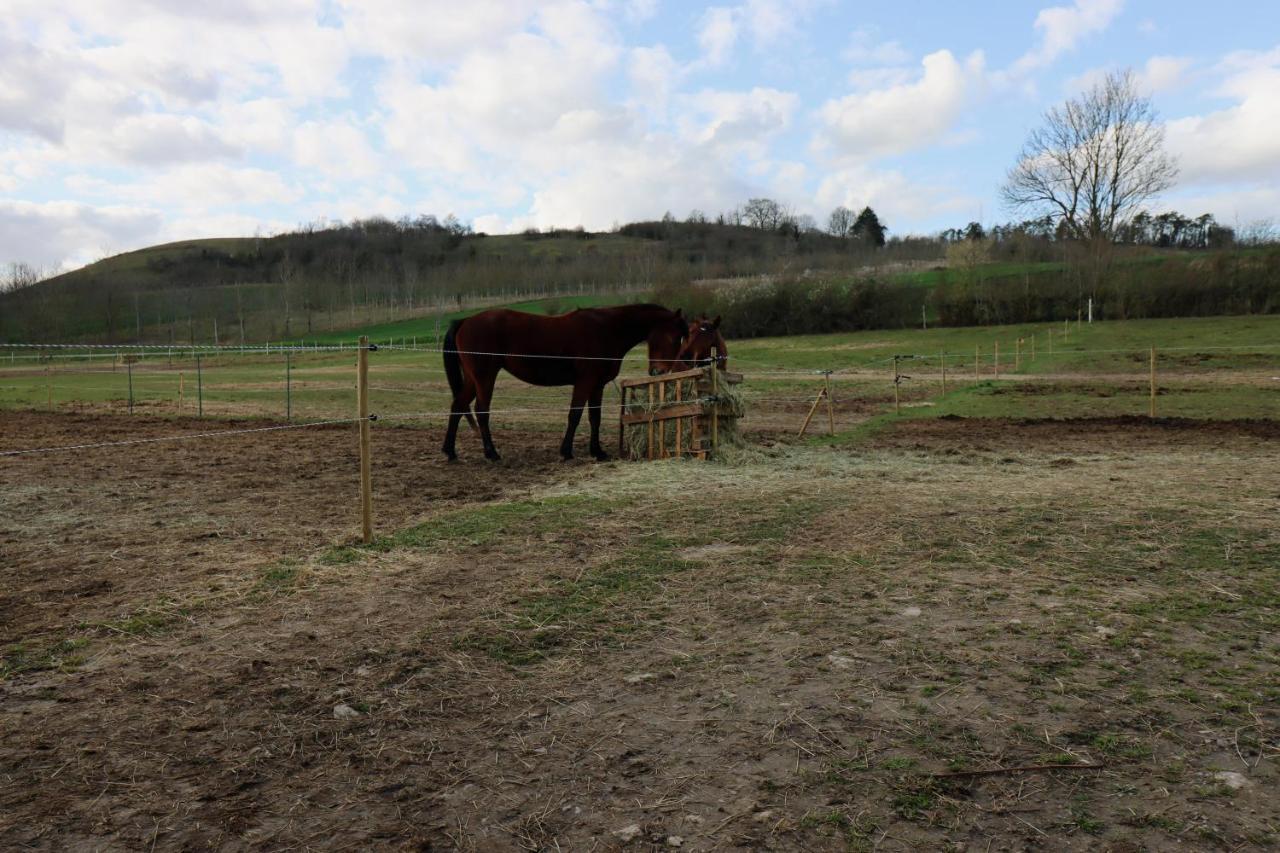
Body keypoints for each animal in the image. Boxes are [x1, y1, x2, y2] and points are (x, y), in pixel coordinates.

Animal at [445, 300, 696, 458]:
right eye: (675, 337)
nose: (661, 372)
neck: (607, 329)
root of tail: (465, 320)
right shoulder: (585, 381)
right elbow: (574, 415)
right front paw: (566, 451)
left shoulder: (597, 385)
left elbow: (595, 417)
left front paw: (597, 452)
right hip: (485, 377)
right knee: (481, 411)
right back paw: (491, 453)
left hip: (473, 379)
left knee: (458, 405)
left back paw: (450, 451)